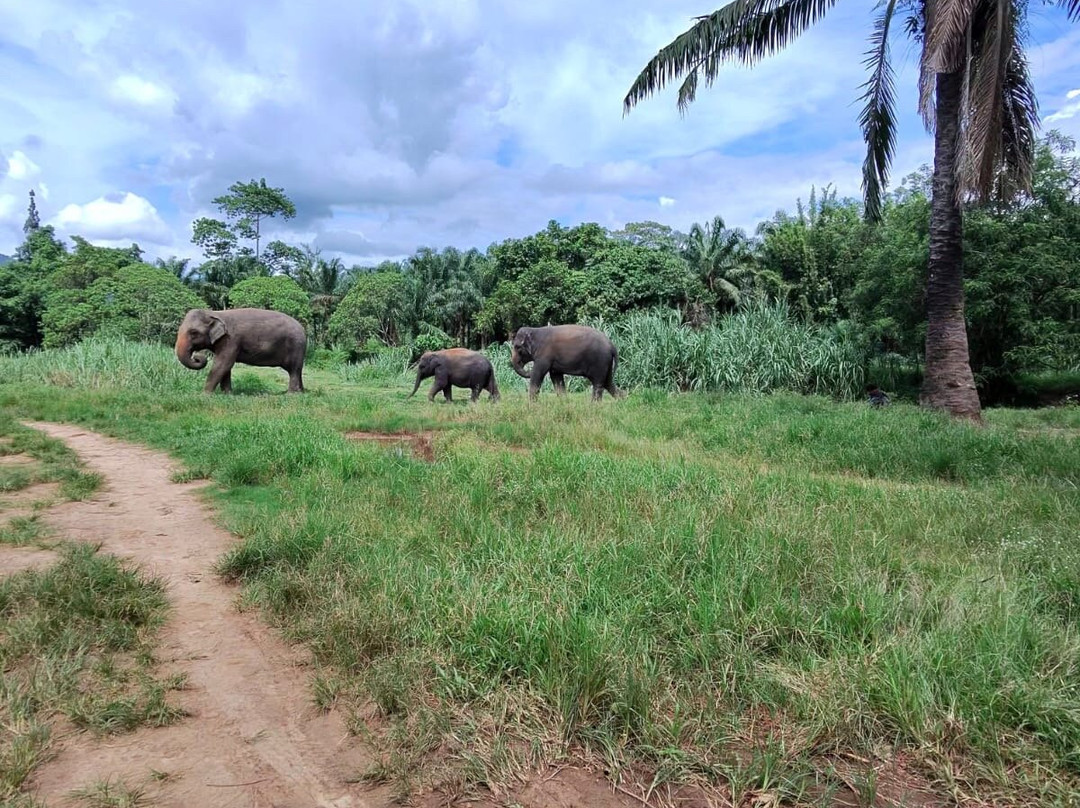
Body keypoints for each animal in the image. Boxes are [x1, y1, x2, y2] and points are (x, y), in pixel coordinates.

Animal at [175, 308, 307, 393]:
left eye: (194, 333)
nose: (197, 357)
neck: (214, 313)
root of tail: (303, 329)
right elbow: (225, 366)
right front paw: (227, 394)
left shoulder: (231, 339)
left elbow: (223, 363)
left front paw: (205, 395)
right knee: (297, 369)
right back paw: (300, 392)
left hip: (296, 346)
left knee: (293, 369)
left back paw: (291, 394)